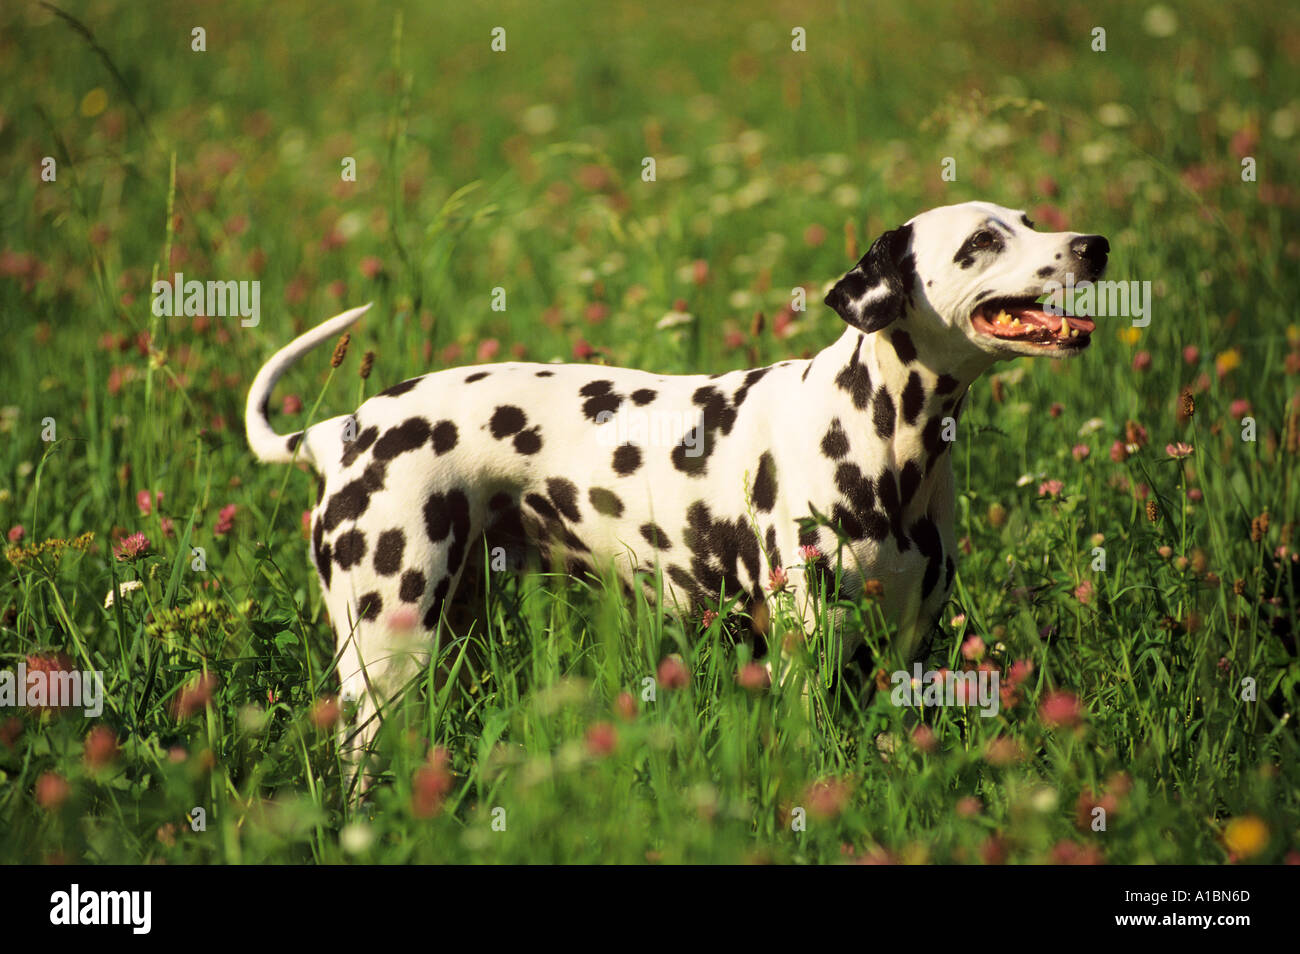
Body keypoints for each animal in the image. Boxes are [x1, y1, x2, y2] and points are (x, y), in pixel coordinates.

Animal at [244, 200, 1107, 785]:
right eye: (982, 241)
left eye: (1028, 220)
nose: (1094, 244)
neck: (882, 438)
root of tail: (341, 431)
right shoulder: (806, 650)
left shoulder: (904, 650)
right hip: (385, 658)